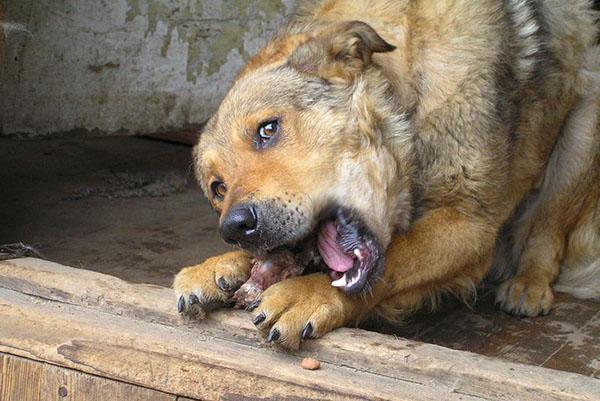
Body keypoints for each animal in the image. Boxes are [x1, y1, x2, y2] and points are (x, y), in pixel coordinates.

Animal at [173, 0, 600, 346]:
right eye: (217, 187)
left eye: (267, 129)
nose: (234, 227)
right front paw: (219, 265)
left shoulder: (468, 223)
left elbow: (394, 261)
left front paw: (307, 294)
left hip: (581, 136)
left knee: (548, 230)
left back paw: (529, 283)